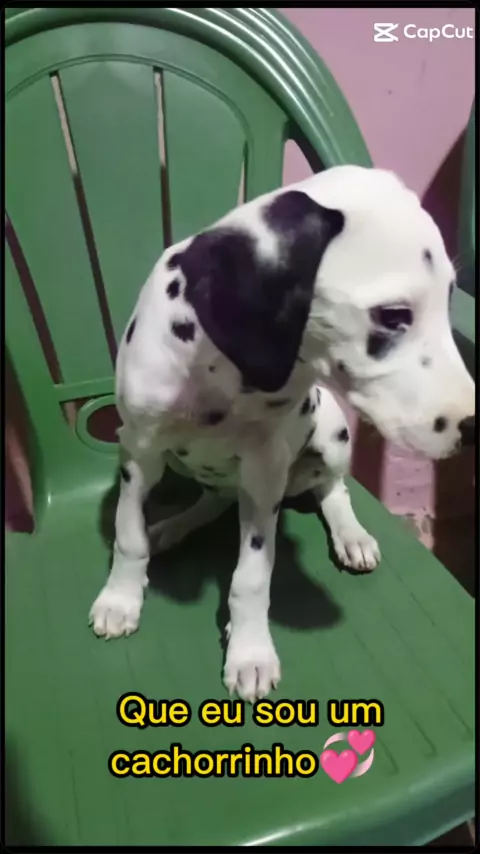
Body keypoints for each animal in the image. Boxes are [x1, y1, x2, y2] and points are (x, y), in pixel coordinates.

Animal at [89, 165, 475, 702]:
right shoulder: (139, 450)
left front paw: (249, 651)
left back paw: (351, 536)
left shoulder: (264, 472)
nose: (474, 426)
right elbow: (128, 534)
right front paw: (121, 598)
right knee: (213, 500)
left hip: (330, 433)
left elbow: (252, 576)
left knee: (333, 490)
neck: (222, 375)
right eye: (394, 316)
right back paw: (172, 525)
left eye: (448, 302)